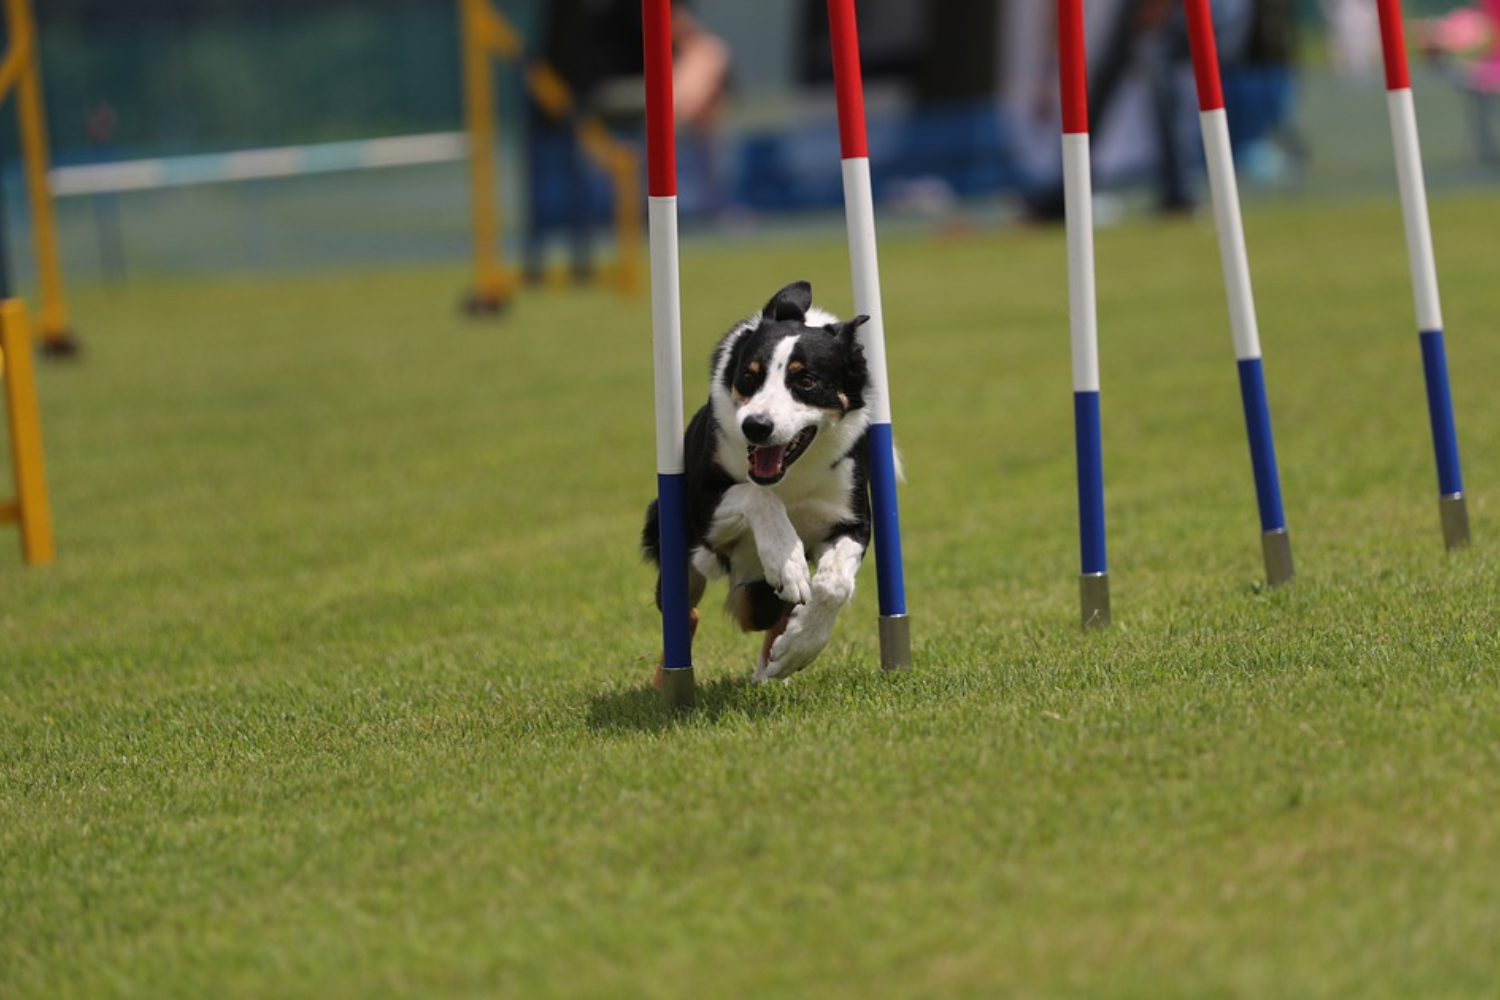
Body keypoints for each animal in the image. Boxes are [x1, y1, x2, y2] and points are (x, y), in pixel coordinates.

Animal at [639, 283, 876, 689]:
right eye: (750, 376)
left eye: (806, 381)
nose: (756, 426)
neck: (792, 475)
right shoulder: (701, 504)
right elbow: (756, 495)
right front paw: (788, 563)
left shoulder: (852, 518)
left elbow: (833, 586)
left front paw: (797, 648)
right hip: (674, 537)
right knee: (687, 606)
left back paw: (774, 665)